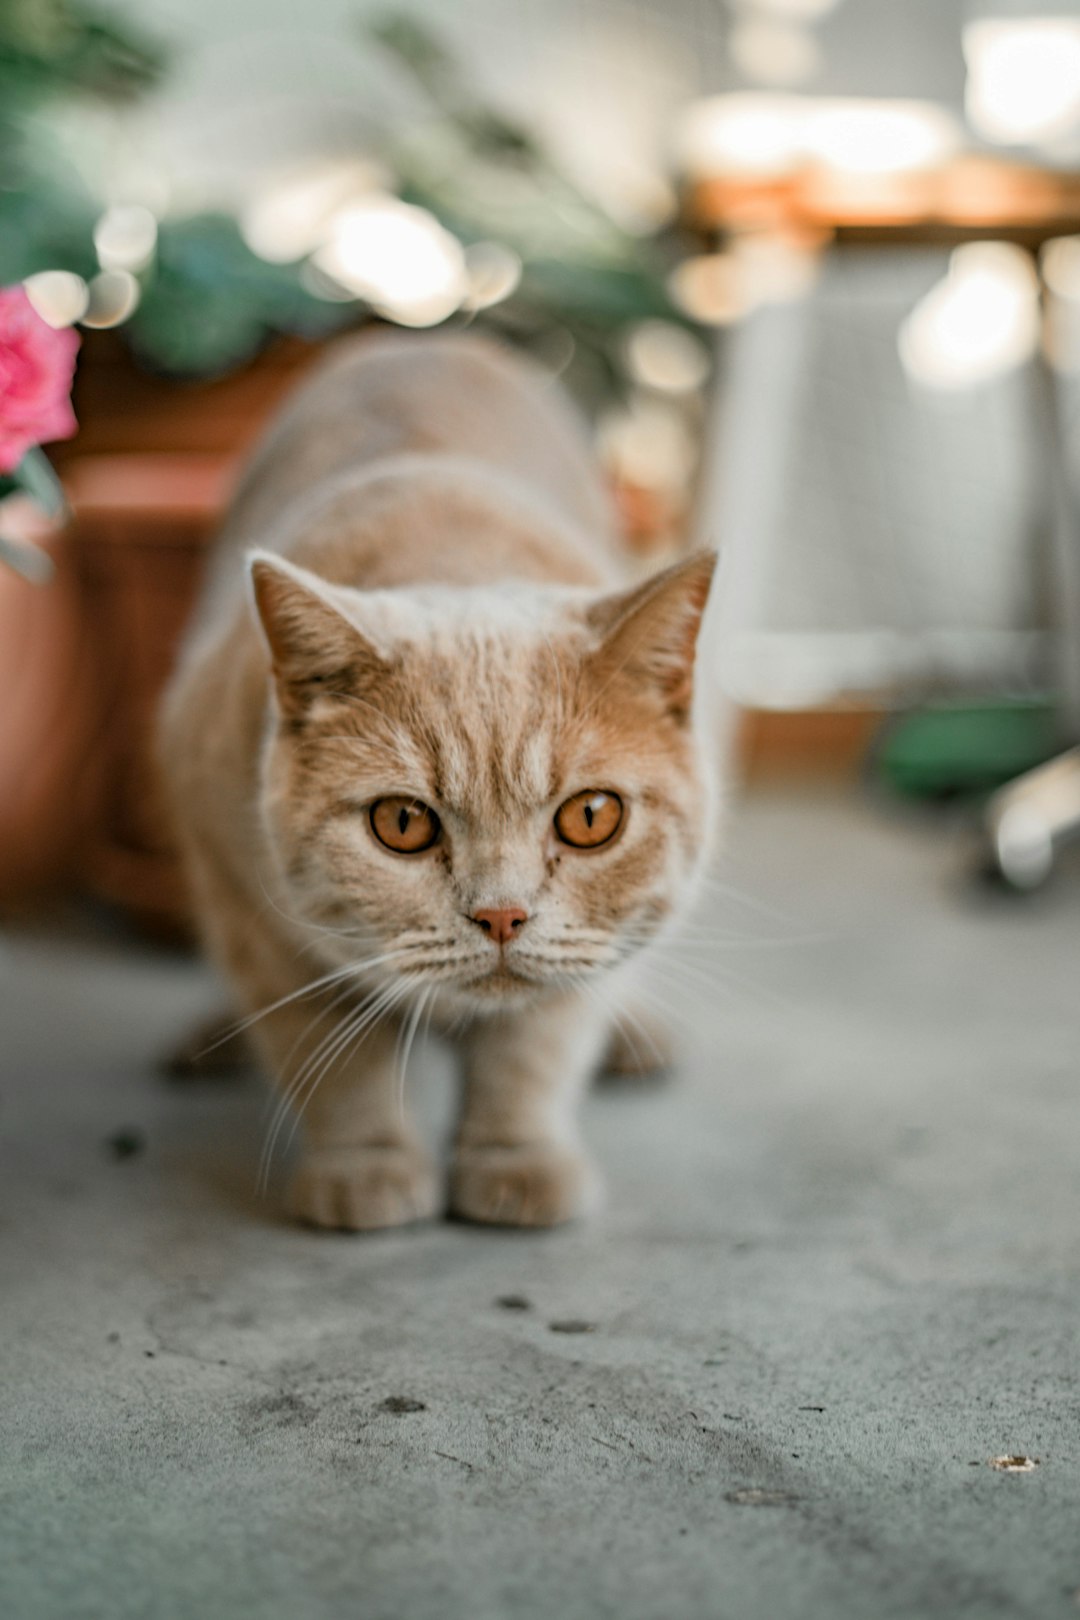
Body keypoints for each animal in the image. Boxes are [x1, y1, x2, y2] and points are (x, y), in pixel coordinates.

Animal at [160, 335, 712, 1231]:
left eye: (592, 817)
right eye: (402, 824)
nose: (501, 915)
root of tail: (425, 338)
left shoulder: (589, 947)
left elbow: (535, 1048)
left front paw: (516, 1164)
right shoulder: (250, 911)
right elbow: (332, 1060)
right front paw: (365, 1170)